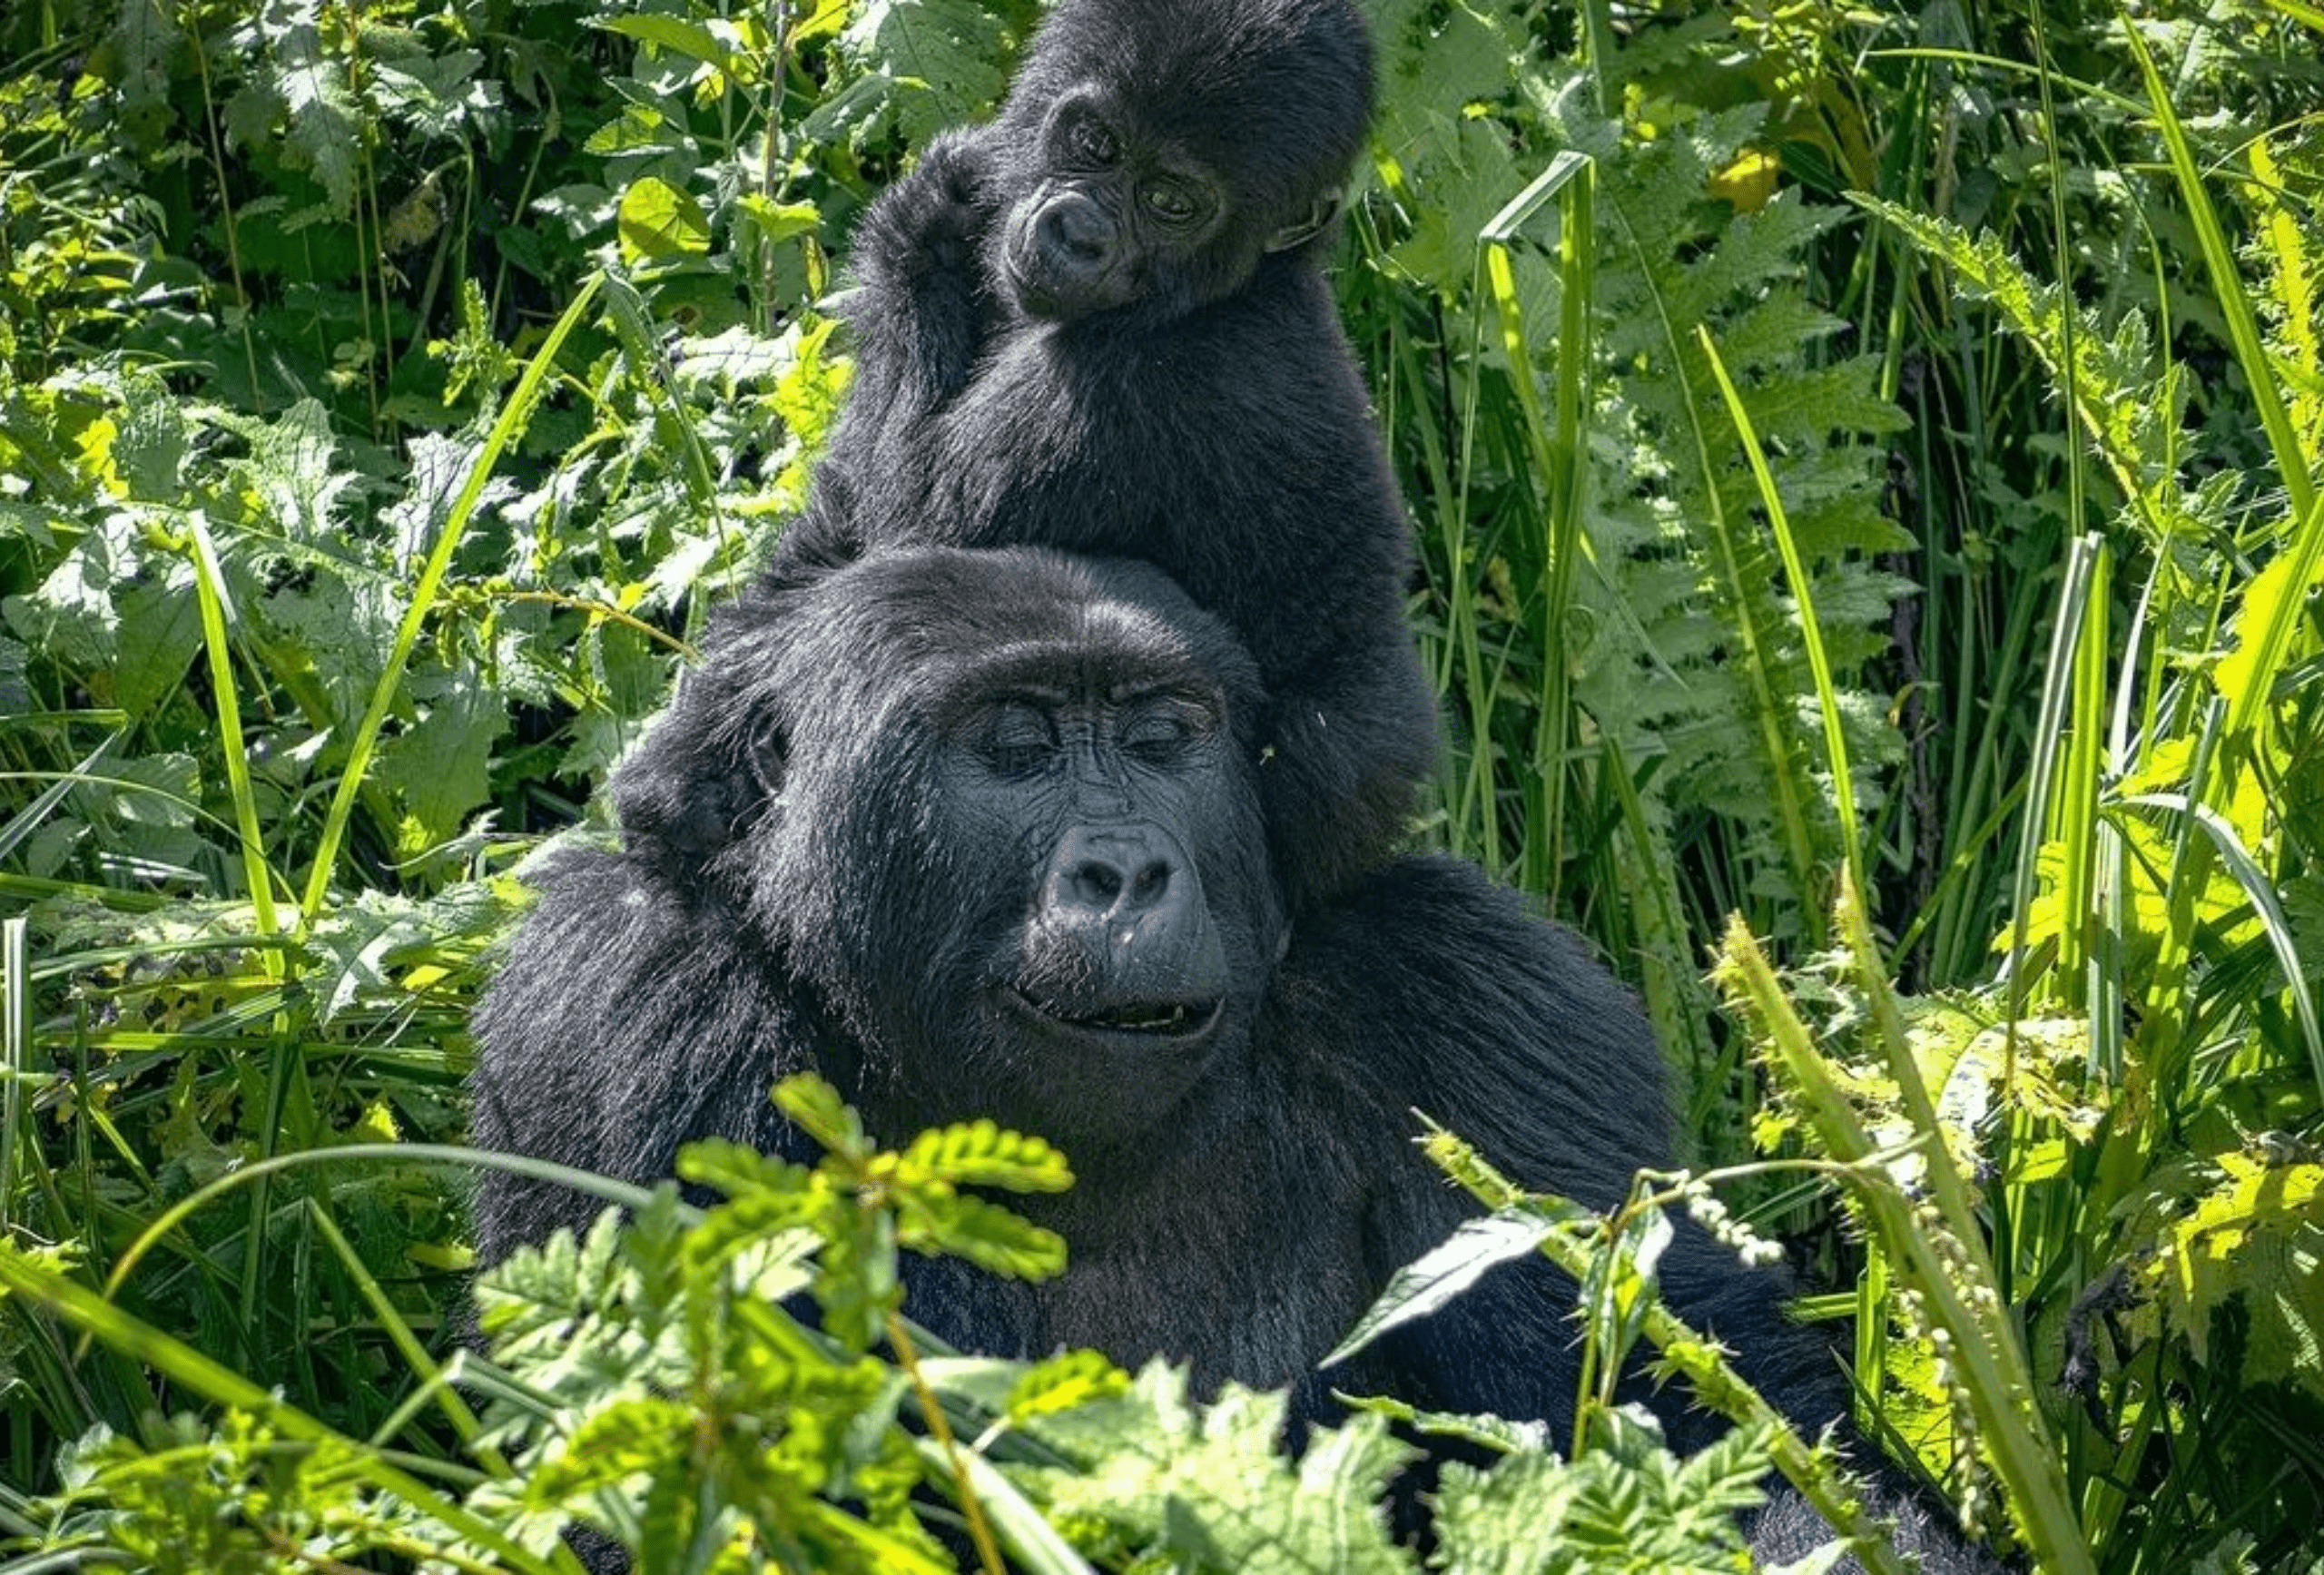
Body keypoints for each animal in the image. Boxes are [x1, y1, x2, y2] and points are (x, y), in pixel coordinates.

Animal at [480, 546, 1989, 1575]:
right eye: (1015, 748)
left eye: (1161, 739)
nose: (1130, 868)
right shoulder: (618, 1007)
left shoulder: (1478, 998)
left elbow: (1711, 1426)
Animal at [766, 0, 1431, 920]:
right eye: (1096, 143)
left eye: (1170, 201)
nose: (1076, 232)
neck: (1239, 285)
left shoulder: (1114, 395)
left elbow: (898, 541)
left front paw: (921, 228)